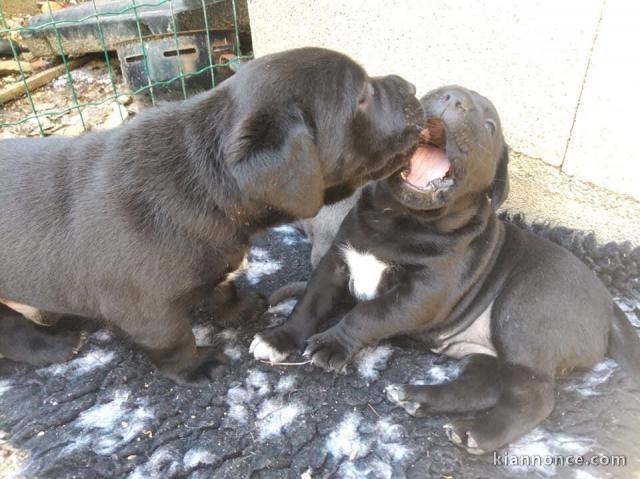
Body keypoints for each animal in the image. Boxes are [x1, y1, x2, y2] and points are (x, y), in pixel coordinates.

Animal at [0, 47, 424, 386]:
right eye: (363, 96)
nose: (412, 86)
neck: (205, 182)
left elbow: (224, 286)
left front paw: (240, 309)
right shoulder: (145, 308)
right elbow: (173, 339)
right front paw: (195, 367)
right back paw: (54, 346)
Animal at [251, 85, 640, 454]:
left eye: (490, 126)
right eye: (436, 92)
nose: (456, 100)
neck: (397, 217)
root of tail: (610, 308)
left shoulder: (421, 293)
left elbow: (369, 313)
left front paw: (332, 343)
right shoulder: (336, 261)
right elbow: (310, 303)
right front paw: (278, 338)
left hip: (523, 312)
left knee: (536, 395)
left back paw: (479, 432)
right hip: (486, 355)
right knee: (484, 386)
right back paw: (420, 399)